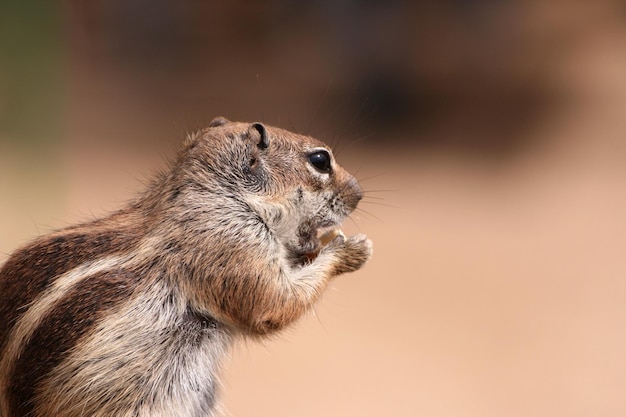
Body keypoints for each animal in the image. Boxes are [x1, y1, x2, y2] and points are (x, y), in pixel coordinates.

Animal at [0, 117, 370, 416]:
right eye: (320, 160)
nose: (359, 193)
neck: (215, 193)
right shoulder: (231, 245)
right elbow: (274, 302)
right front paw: (348, 248)